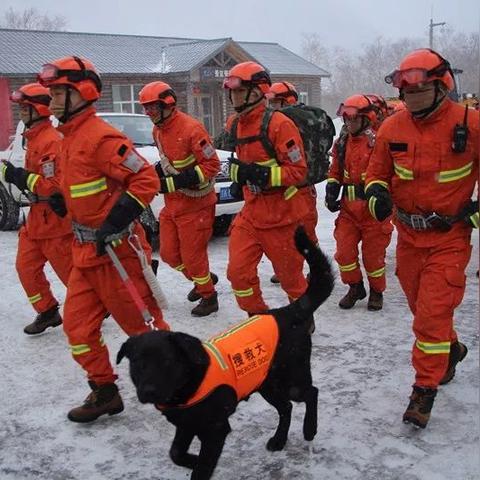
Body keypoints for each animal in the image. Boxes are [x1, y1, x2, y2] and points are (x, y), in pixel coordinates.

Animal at [118, 226, 332, 480]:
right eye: (138, 363)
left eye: (168, 362)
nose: (149, 390)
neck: (189, 384)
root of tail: (288, 311)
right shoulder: (186, 425)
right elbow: (176, 453)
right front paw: (192, 460)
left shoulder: (215, 429)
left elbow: (201, 469)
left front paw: (199, 465)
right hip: (265, 383)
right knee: (286, 407)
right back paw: (279, 440)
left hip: (292, 378)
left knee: (311, 393)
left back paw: (310, 429)